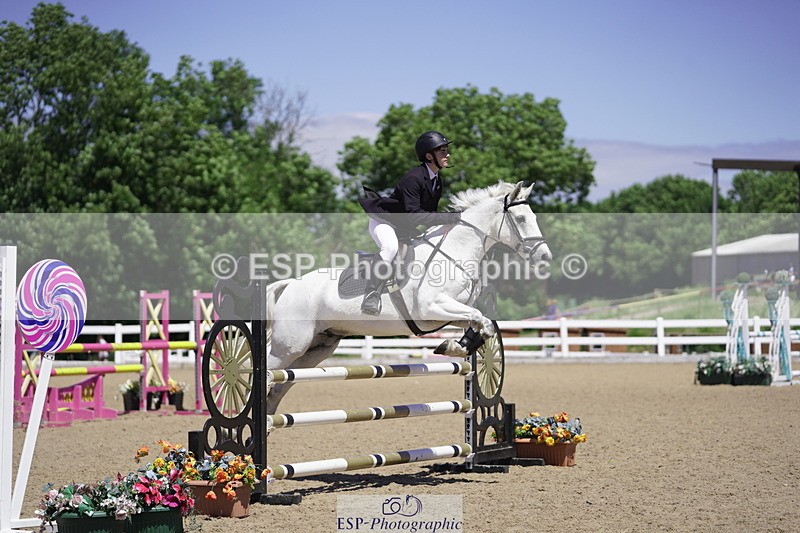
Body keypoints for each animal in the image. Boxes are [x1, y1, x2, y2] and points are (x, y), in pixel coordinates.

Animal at [264, 181, 551, 413]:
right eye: (521, 219)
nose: (544, 256)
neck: (454, 251)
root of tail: (290, 285)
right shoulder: (431, 308)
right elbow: (480, 318)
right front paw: (456, 346)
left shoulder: (448, 312)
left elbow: (483, 322)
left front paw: (455, 346)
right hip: (291, 344)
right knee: (266, 369)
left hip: (318, 347)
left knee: (282, 383)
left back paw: (268, 422)